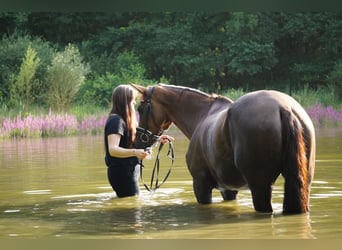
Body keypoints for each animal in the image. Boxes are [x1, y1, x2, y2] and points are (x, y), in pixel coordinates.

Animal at [131, 83, 316, 213]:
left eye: (141, 108)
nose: (138, 143)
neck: (202, 115)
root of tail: (284, 108)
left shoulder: (201, 185)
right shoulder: (229, 190)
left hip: (260, 187)